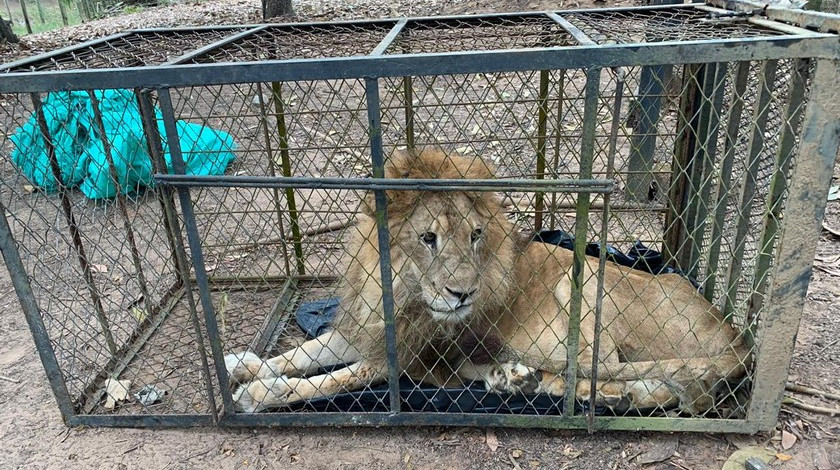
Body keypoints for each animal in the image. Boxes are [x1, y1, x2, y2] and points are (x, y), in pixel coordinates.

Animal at [226, 147, 752, 414]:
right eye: (429, 237)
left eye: (476, 234)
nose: (464, 294)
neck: (398, 290)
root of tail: (735, 335)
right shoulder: (371, 330)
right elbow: (303, 353)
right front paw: (246, 364)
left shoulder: (401, 356)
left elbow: (328, 380)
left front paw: (258, 394)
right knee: (648, 390)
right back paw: (513, 377)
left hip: (583, 280)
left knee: (600, 380)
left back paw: (533, 383)